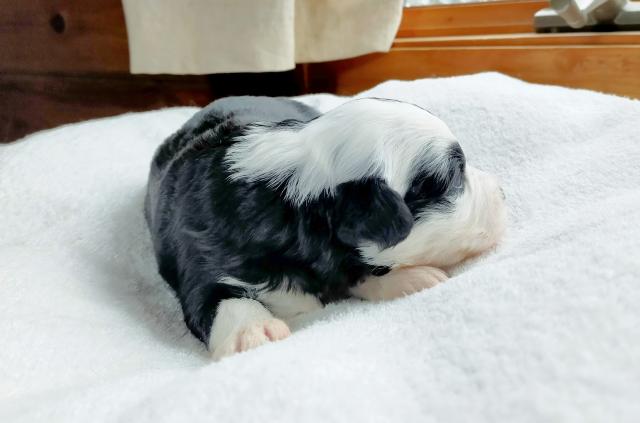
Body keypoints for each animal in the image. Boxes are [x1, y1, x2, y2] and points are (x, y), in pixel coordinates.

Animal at [145, 96, 506, 359]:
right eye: (454, 178)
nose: (504, 193)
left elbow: (361, 270)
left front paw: (413, 278)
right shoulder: (199, 252)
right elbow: (218, 298)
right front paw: (254, 332)